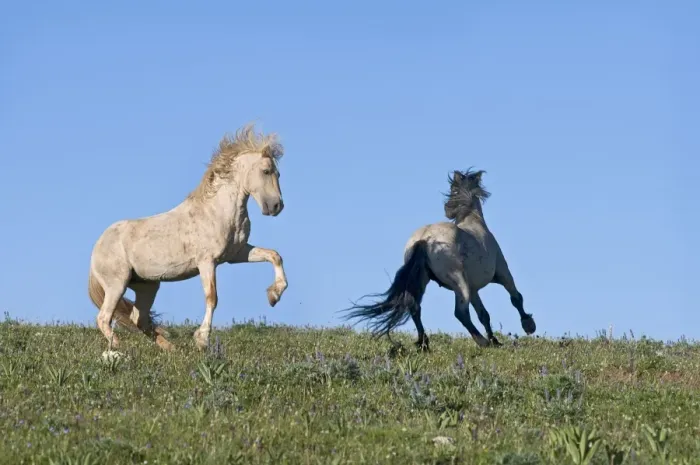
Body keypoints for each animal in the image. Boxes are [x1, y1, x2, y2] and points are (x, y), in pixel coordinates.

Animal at [87, 124, 288, 351]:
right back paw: (117, 346)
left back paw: (170, 348)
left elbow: (275, 255)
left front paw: (274, 295)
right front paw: (202, 339)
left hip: (147, 286)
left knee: (139, 318)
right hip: (117, 284)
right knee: (104, 317)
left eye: (278, 173)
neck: (217, 211)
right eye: (266, 171)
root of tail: (97, 248)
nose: (276, 206)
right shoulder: (207, 261)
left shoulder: (236, 254)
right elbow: (212, 297)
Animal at [343, 168, 536, 350]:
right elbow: (516, 298)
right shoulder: (503, 273)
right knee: (460, 313)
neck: (474, 222)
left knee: (415, 307)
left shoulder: (474, 289)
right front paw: (528, 325)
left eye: (453, 190)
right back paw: (481, 341)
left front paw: (496, 341)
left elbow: (484, 315)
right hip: (459, 283)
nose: (448, 209)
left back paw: (424, 344)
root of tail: (424, 239)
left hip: (424, 281)